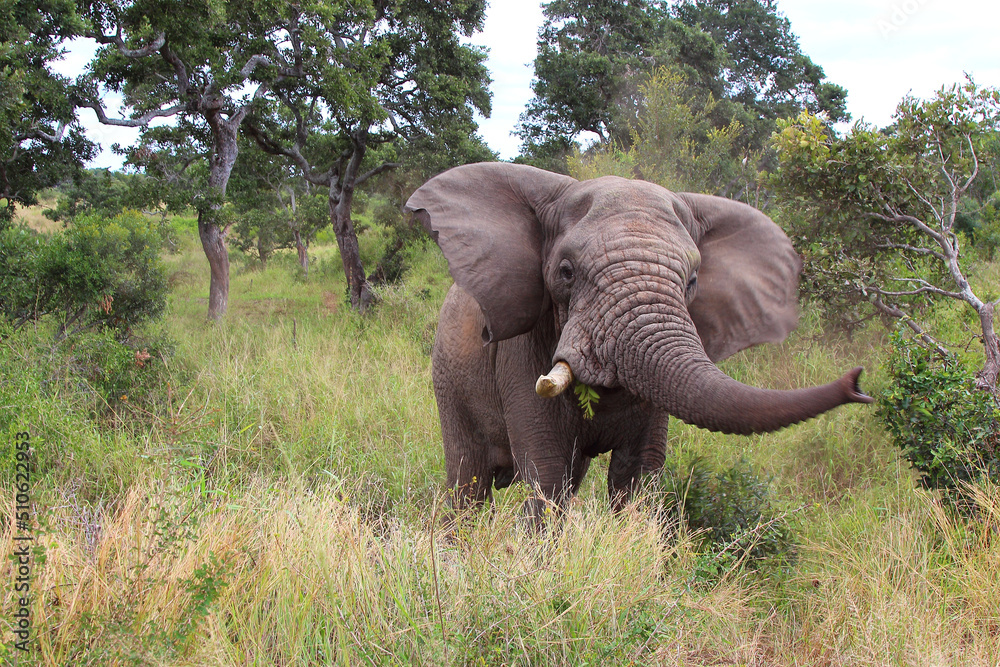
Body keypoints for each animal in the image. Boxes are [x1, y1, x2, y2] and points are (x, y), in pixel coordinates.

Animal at [404, 162, 872, 516]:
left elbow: (638, 472)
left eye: (693, 280)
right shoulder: (523, 350)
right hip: (448, 377)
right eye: (566, 272)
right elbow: (547, 471)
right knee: (468, 481)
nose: (857, 382)